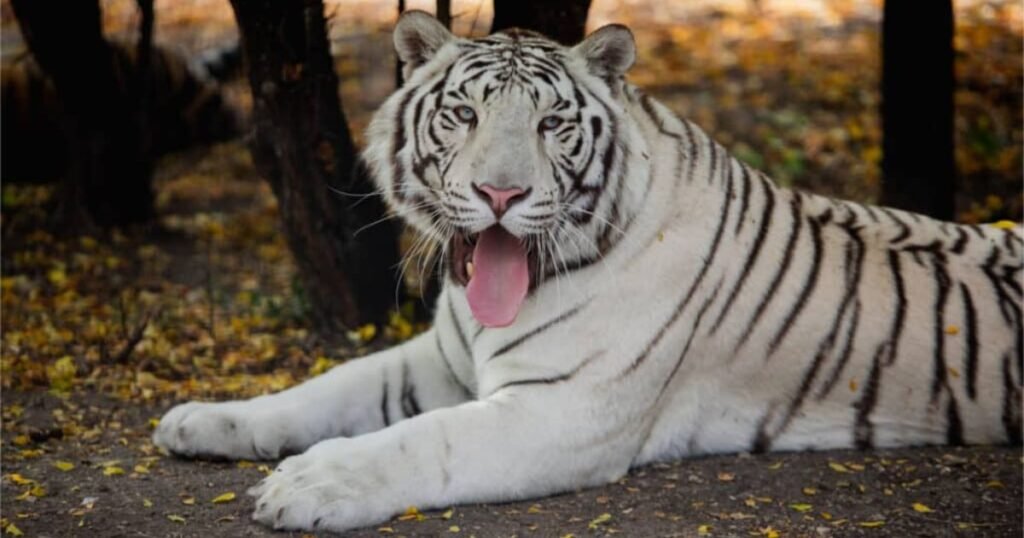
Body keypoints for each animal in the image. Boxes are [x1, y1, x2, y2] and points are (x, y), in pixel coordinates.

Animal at [154, 10, 1023, 532]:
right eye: (463, 114)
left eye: (550, 124)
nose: (500, 194)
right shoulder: (440, 360)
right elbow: (322, 388)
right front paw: (198, 420)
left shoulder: (564, 410)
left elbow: (422, 440)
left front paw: (308, 486)